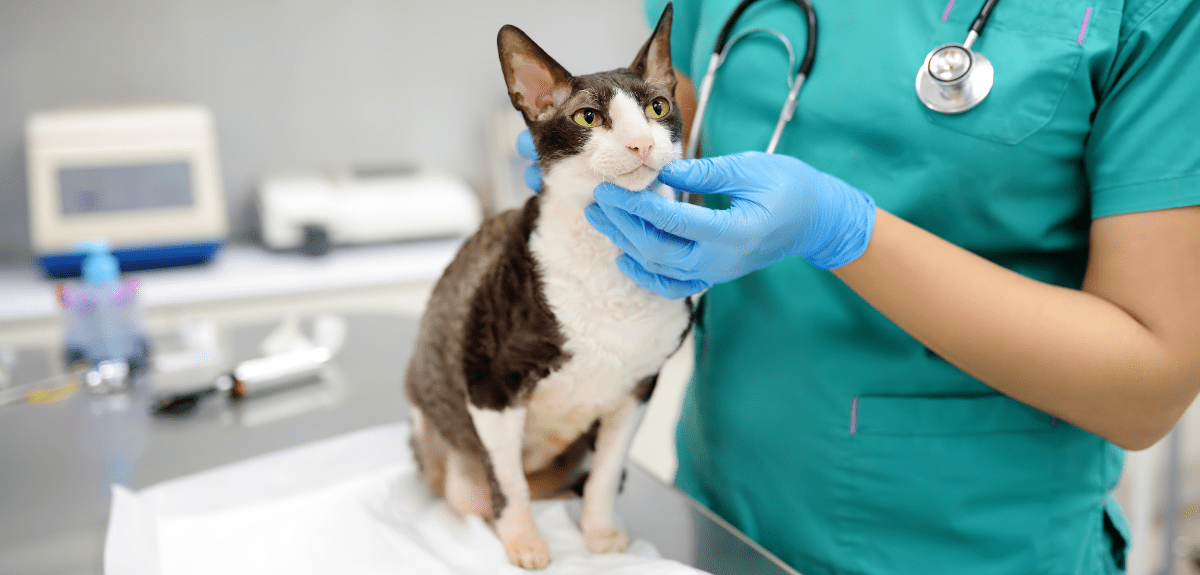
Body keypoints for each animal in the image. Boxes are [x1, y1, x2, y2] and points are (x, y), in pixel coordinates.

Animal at [403, 4, 691, 570]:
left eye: (658, 106)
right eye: (588, 118)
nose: (643, 143)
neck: (607, 258)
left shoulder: (638, 389)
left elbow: (605, 474)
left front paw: (600, 533)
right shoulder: (490, 383)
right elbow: (508, 483)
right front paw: (524, 542)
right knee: (487, 488)